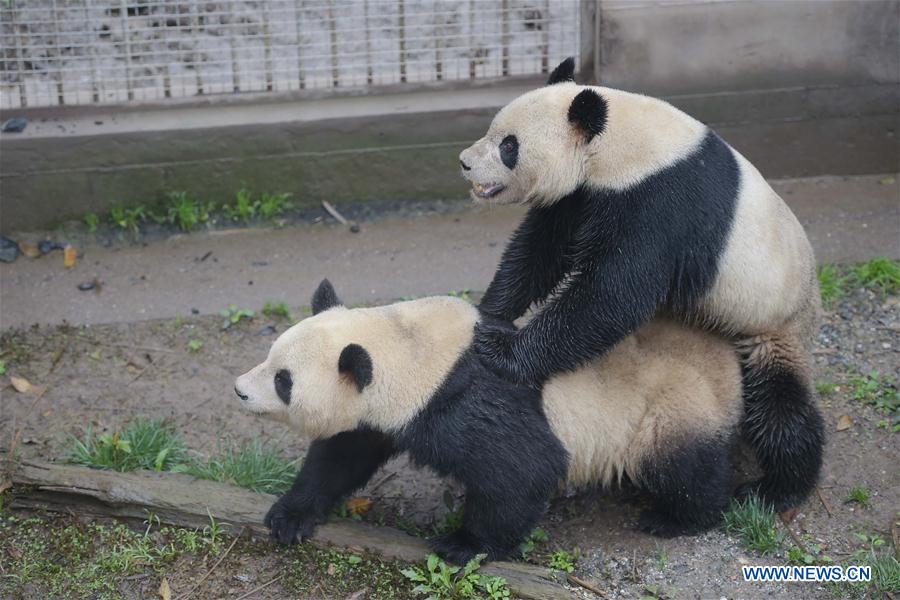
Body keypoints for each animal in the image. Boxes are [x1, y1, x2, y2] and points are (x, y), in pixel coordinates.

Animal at [234, 278, 744, 564]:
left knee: (680, 465)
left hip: (670, 404)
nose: (239, 390)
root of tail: (724, 360)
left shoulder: (462, 399)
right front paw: (290, 516)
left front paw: (463, 545)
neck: (409, 345)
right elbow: (341, 455)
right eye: (269, 356)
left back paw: (675, 517)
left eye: (283, 381)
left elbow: (522, 468)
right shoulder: (379, 411)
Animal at [460, 56, 828, 512]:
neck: (622, 146)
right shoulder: (582, 196)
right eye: (494, 132)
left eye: (509, 146)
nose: (465, 162)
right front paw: (490, 311)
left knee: (780, 405)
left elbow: (612, 295)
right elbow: (539, 251)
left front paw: (500, 349)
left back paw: (777, 488)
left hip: (775, 318)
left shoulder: (659, 203)